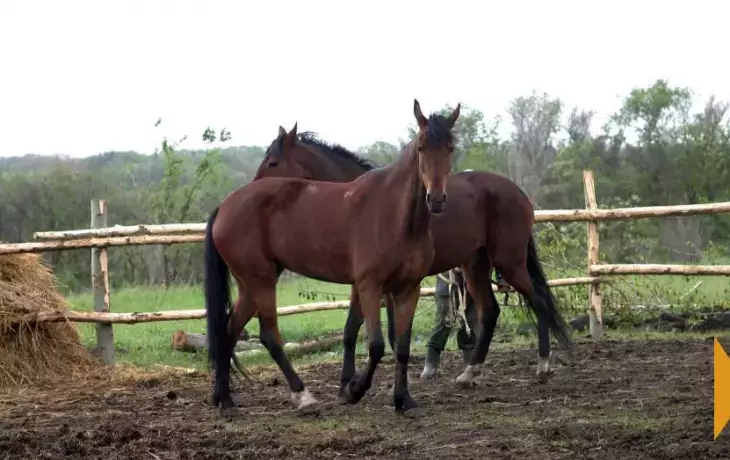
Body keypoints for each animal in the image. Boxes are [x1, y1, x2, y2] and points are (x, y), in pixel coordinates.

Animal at [204, 100, 460, 417]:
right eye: (421, 147)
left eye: (451, 148)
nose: (436, 199)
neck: (396, 214)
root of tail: (226, 204)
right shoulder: (369, 286)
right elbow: (374, 344)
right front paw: (352, 390)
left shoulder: (407, 289)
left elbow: (400, 345)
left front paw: (403, 399)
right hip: (260, 281)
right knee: (269, 336)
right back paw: (303, 396)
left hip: (251, 284)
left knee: (229, 330)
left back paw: (225, 399)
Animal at [251, 120, 573, 398]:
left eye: (272, 162)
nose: (251, 192)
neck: (357, 200)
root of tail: (517, 192)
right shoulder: (373, 284)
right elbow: (365, 332)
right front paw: (353, 383)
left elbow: (364, 331)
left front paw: (360, 384)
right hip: (475, 266)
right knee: (490, 312)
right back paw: (470, 373)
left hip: (510, 262)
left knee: (538, 300)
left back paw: (543, 364)